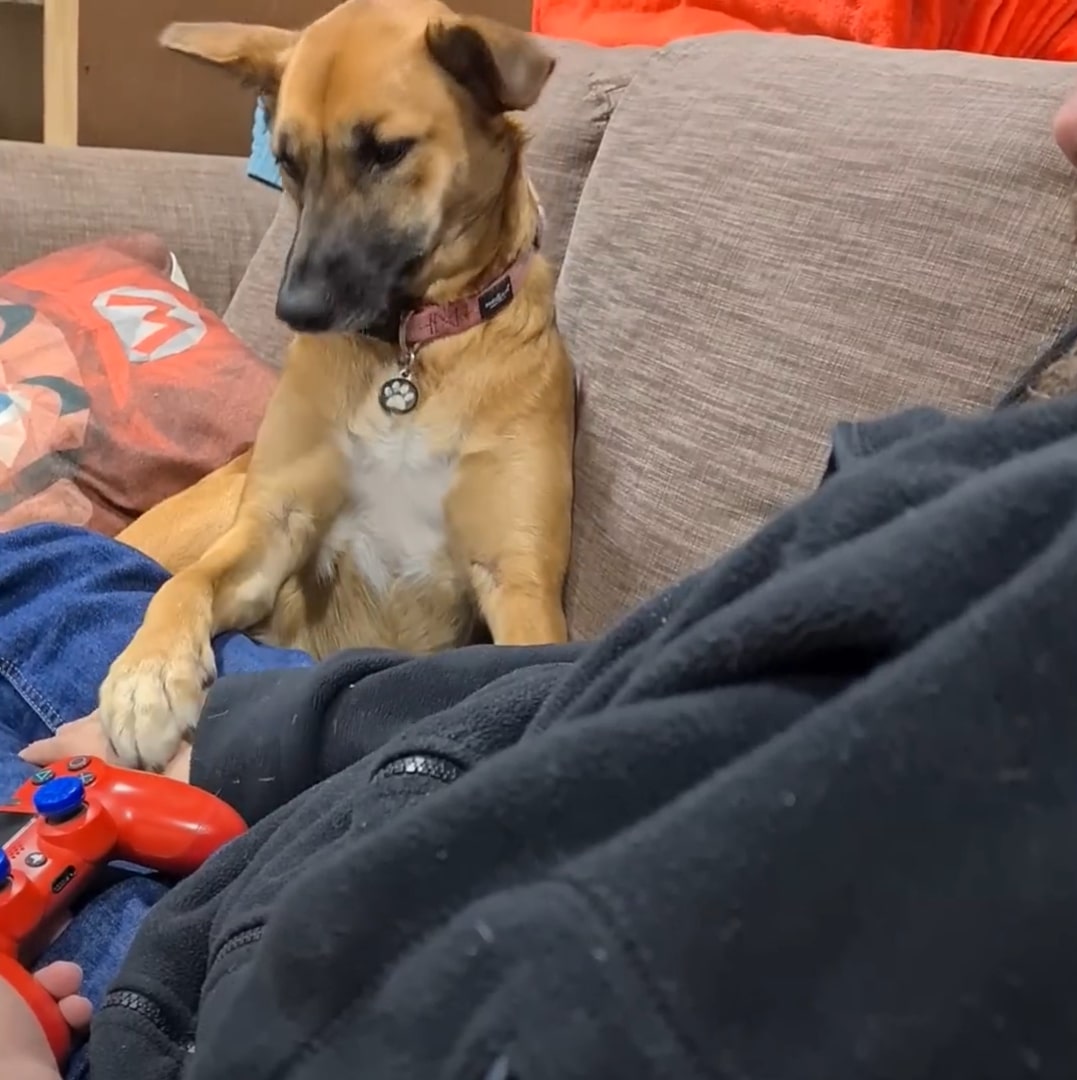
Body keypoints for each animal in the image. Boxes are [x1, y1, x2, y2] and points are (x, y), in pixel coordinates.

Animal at [101, 2, 574, 777]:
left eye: (386, 151)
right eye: (288, 162)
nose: (294, 311)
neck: (407, 356)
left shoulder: (519, 581)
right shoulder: (271, 529)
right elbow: (186, 583)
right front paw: (146, 677)